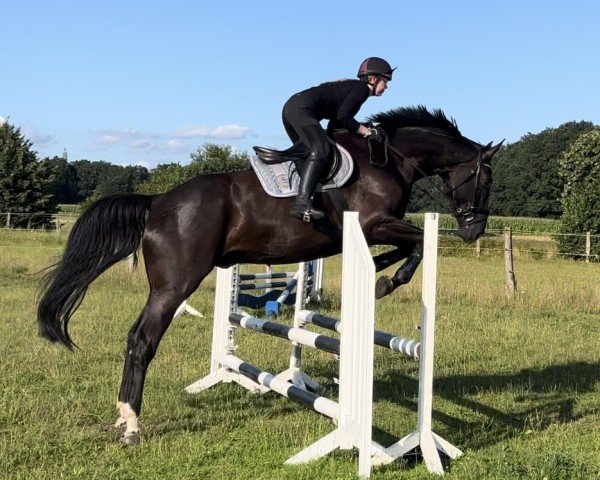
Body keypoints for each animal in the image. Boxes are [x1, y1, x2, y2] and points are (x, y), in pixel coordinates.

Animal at [37, 105, 504, 442]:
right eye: (484, 182)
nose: (474, 230)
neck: (389, 160)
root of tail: (158, 202)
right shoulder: (373, 224)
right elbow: (420, 244)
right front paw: (385, 280)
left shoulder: (374, 229)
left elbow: (409, 246)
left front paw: (382, 275)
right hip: (173, 286)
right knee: (141, 340)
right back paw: (132, 423)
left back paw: (123, 417)